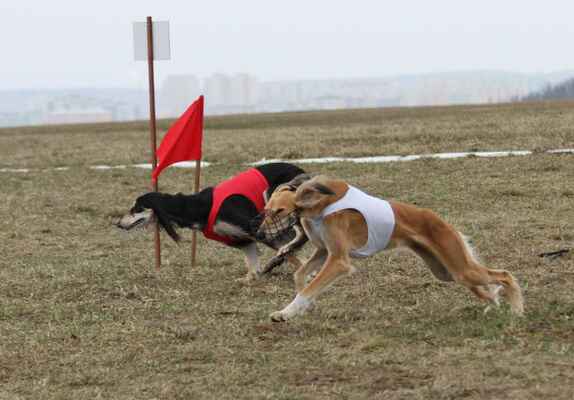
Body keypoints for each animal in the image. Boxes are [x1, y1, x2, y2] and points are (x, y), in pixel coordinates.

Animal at [116, 162, 308, 281]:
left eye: (136, 208)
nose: (118, 224)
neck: (200, 207)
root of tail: (300, 170)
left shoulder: (256, 228)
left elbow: (293, 254)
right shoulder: (241, 239)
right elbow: (253, 262)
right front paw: (251, 277)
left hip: (275, 199)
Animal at [257, 175, 524, 321]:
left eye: (279, 211)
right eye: (266, 210)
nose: (259, 234)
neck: (320, 204)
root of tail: (441, 221)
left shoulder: (339, 260)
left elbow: (310, 286)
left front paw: (287, 312)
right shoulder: (324, 252)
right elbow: (300, 276)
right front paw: (300, 308)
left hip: (459, 266)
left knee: (505, 275)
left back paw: (517, 310)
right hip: (446, 271)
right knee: (485, 286)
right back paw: (493, 304)